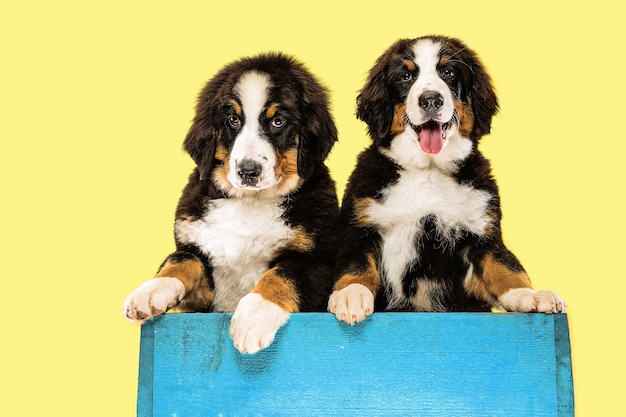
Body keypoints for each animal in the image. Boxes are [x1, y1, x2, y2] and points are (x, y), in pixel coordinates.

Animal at [121, 51, 336, 352]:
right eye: (233, 120)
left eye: (278, 122)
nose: (248, 171)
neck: (248, 203)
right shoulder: (205, 291)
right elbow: (182, 259)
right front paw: (151, 291)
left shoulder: (317, 264)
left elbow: (281, 275)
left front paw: (254, 316)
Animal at [330, 34, 564, 324]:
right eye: (406, 76)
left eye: (448, 72)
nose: (431, 99)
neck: (428, 172)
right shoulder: (360, 227)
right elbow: (356, 266)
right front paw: (350, 295)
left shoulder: (481, 236)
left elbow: (505, 266)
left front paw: (530, 295)